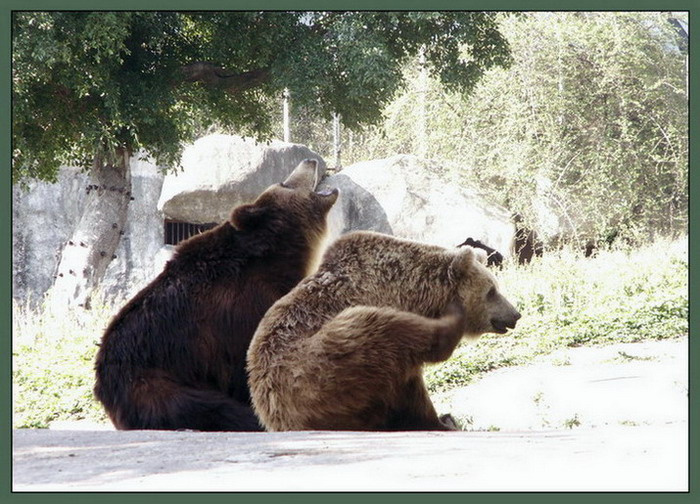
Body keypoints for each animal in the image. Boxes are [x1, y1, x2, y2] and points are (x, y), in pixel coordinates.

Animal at [94, 158, 339, 431]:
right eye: (284, 183)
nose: (310, 160)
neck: (280, 257)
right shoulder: (245, 306)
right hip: (155, 379)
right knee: (208, 407)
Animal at [246, 231, 521, 431]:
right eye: (491, 291)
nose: (515, 314)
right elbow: (411, 389)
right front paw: (440, 420)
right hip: (315, 370)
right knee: (379, 327)